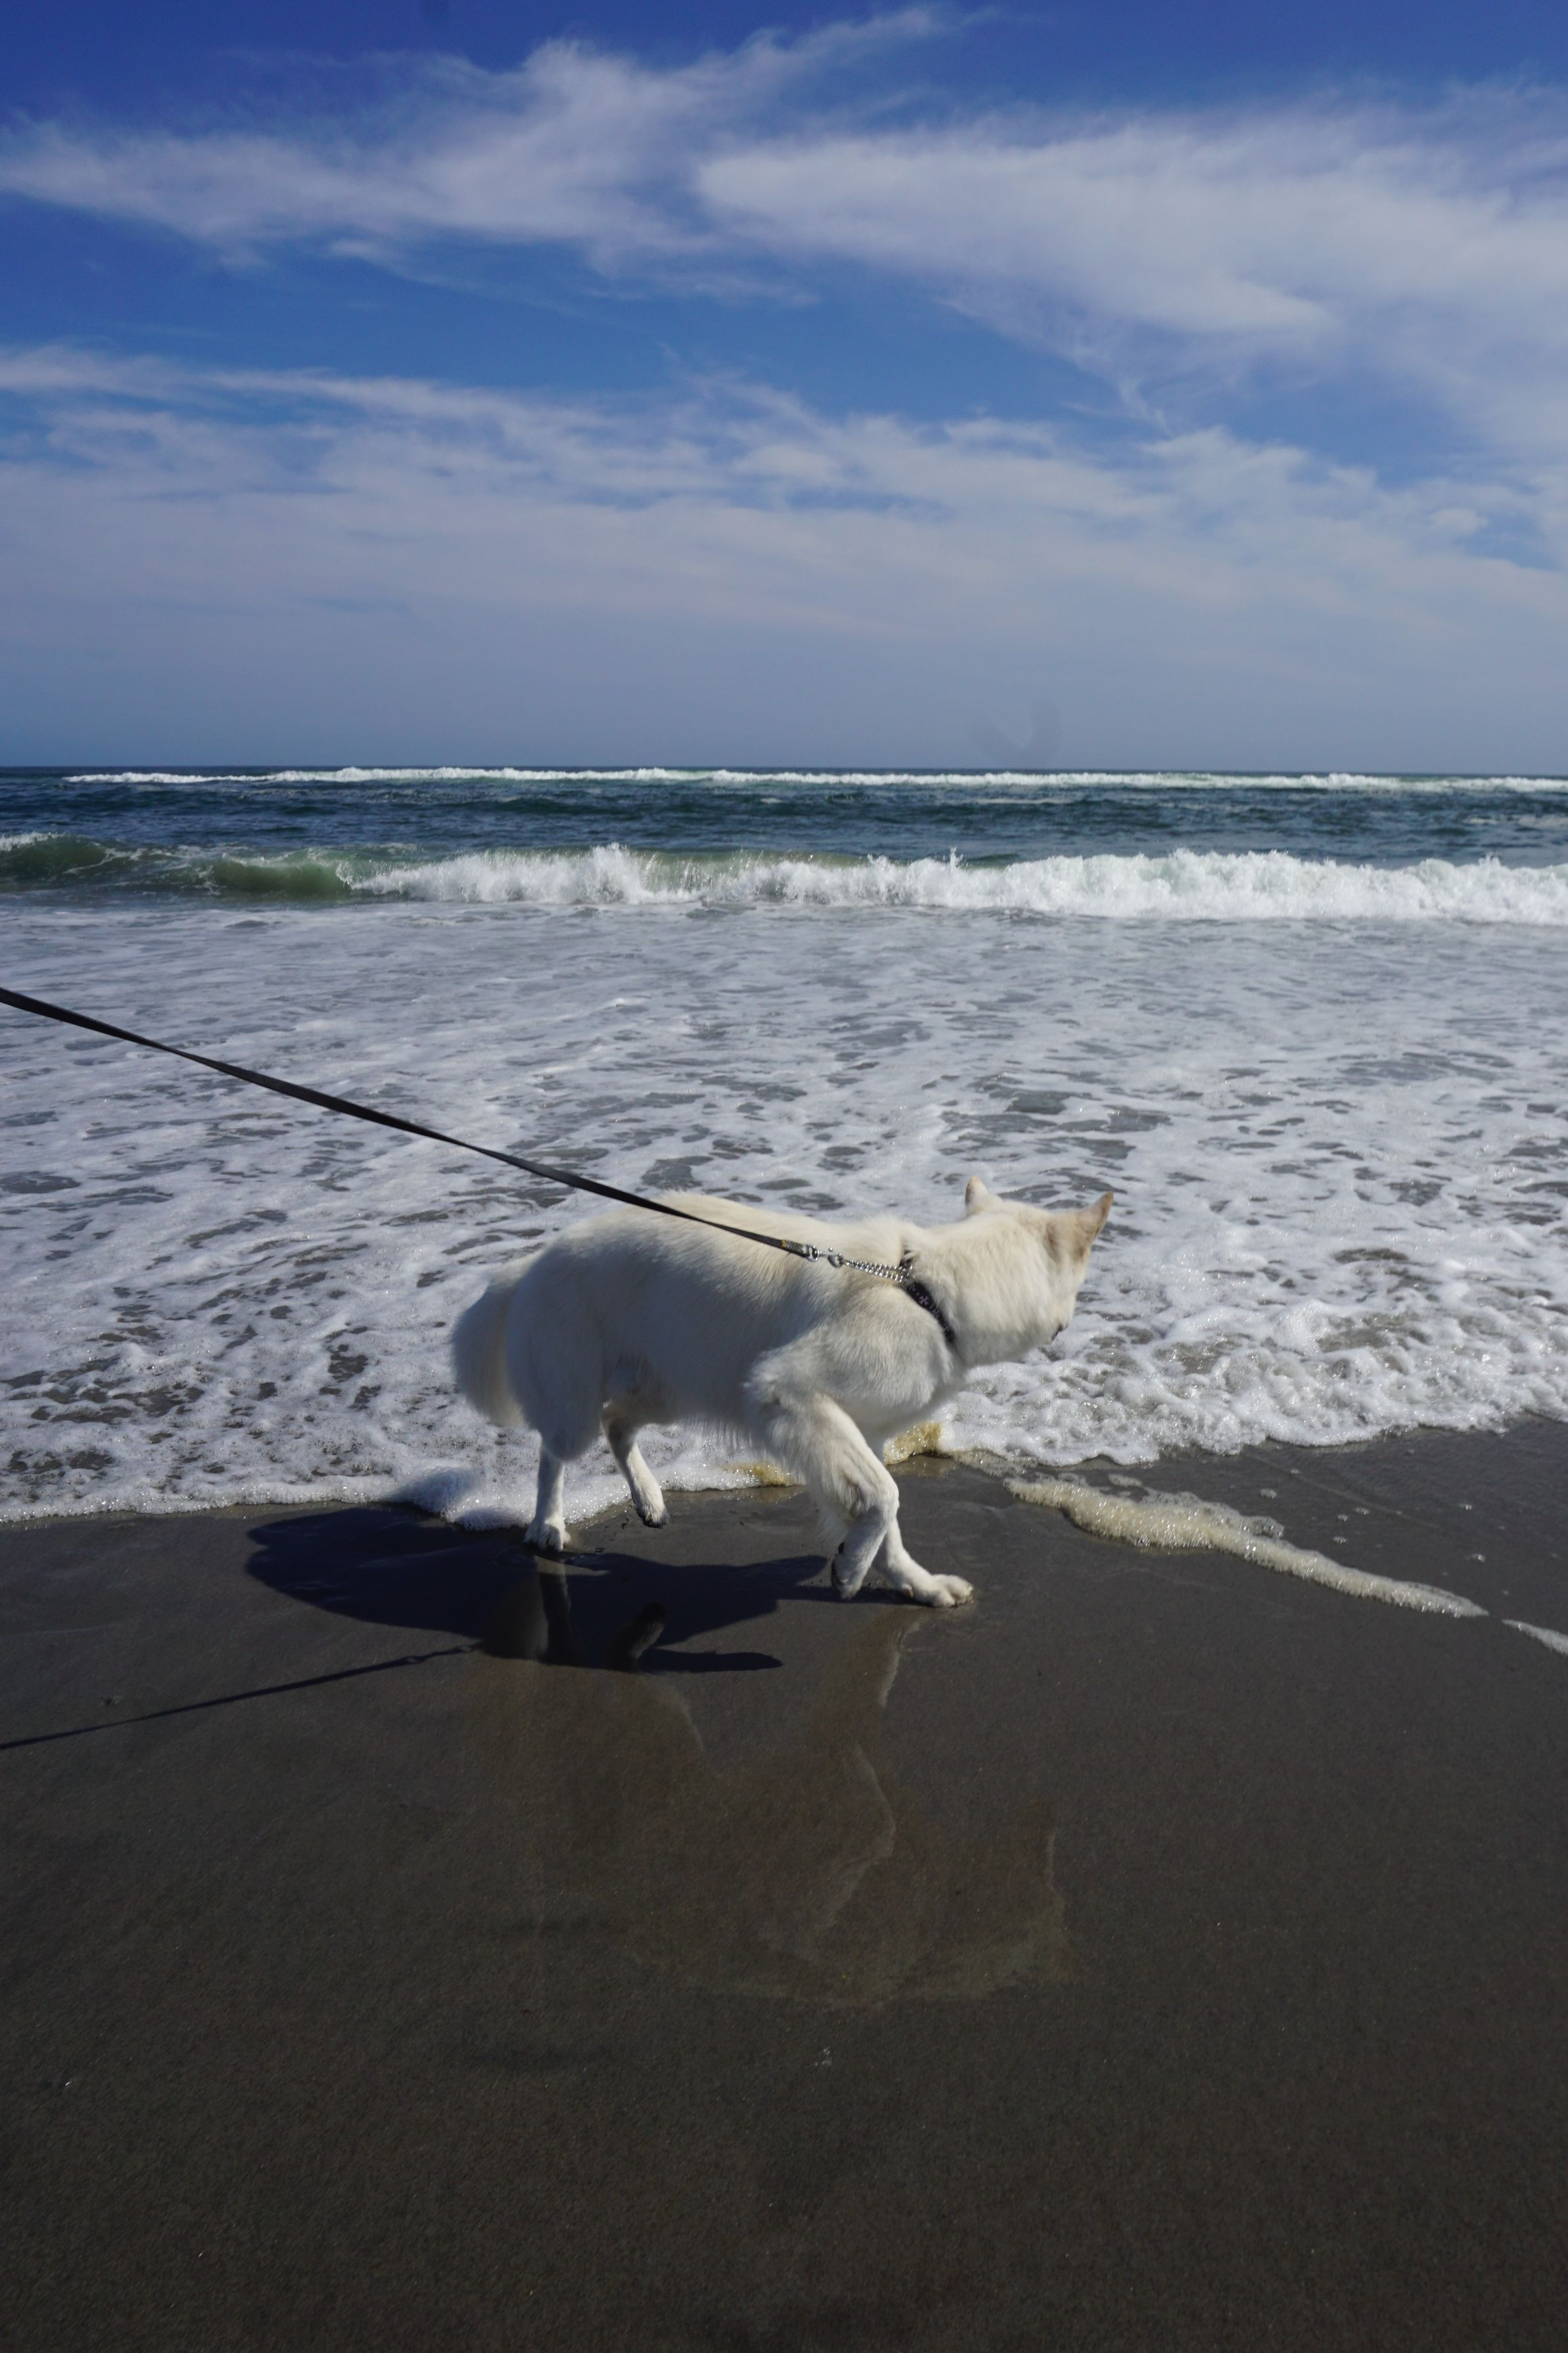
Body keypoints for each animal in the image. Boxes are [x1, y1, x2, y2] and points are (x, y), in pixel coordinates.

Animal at [453, 1175, 1111, 1608]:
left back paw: (647, 1496)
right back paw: (548, 1524)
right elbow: (886, 1496)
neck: (928, 1290)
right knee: (554, 1452)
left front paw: (910, 1582)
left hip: (678, 1385)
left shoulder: (862, 1432)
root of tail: (529, 1265)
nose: (1074, 1321)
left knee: (619, 1423)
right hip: (584, 1404)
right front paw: (851, 1571)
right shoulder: (787, 1390)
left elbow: (886, 1508)